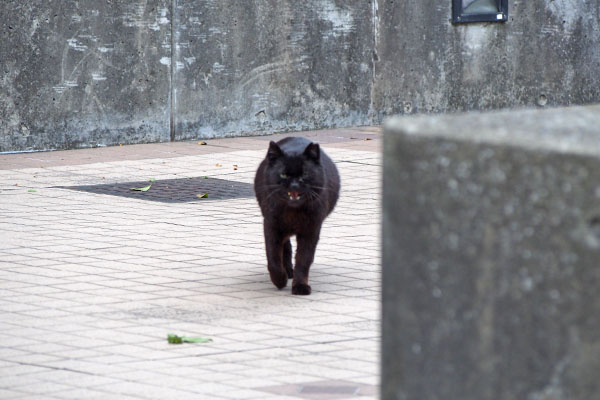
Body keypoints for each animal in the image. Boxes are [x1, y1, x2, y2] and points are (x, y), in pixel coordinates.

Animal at [252, 136, 338, 296]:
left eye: (304, 174)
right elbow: (273, 258)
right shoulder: (271, 225)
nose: (294, 185)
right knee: (285, 247)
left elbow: (303, 260)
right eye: (283, 174)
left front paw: (300, 286)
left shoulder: (311, 230)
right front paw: (280, 280)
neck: (293, 212)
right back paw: (287, 271)